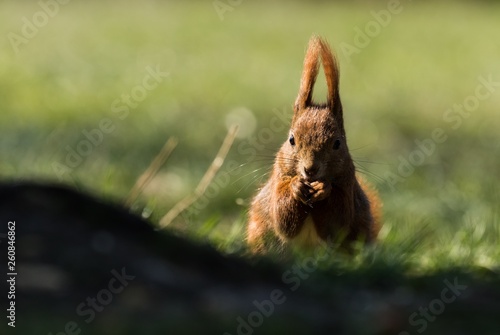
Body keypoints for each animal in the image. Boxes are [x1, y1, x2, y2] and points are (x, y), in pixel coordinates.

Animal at [248, 35, 380, 253]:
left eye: (337, 143)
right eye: (291, 140)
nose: (310, 169)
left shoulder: (347, 185)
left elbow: (338, 221)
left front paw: (323, 189)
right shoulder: (279, 177)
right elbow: (282, 218)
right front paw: (296, 186)